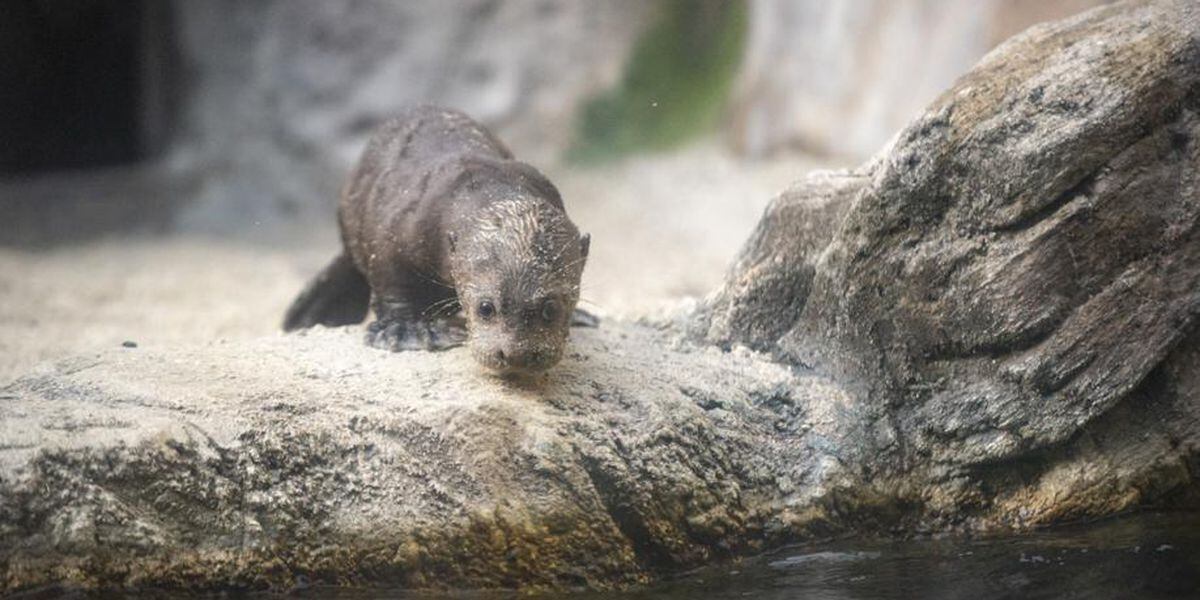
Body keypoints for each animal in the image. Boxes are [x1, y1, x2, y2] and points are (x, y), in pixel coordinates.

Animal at [283, 106, 593, 375]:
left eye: (551, 308)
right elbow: (392, 281)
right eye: (485, 308)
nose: (517, 355)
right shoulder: (393, 232)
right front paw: (407, 331)